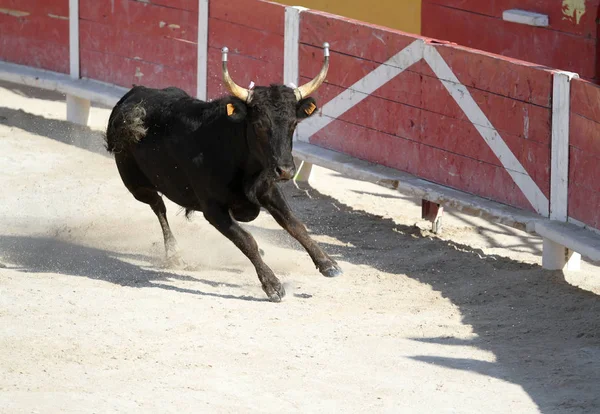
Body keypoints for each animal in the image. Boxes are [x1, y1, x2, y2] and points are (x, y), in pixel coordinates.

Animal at [104, 43, 342, 300]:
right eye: (259, 124)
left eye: (293, 124)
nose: (286, 170)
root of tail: (132, 95)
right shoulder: (213, 209)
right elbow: (246, 240)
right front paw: (272, 285)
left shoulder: (268, 190)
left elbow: (294, 224)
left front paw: (328, 264)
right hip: (137, 185)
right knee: (159, 206)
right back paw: (174, 254)